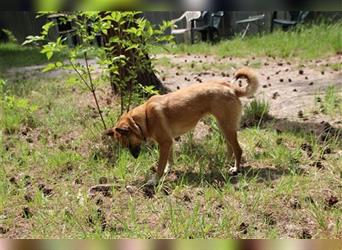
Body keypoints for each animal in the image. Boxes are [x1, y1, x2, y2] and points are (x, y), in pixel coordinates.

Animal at [105, 67, 258, 185]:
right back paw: (226, 162)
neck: (145, 117)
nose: (135, 157)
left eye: (127, 143)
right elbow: (169, 159)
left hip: (227, 128)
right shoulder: (168, 142)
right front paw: (168, 170)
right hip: (223, 127)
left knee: (238, 150)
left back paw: (236, 169)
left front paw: (155, 180)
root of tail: (231, 88)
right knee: (230, 147)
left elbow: (160, 165)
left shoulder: (165, 143)